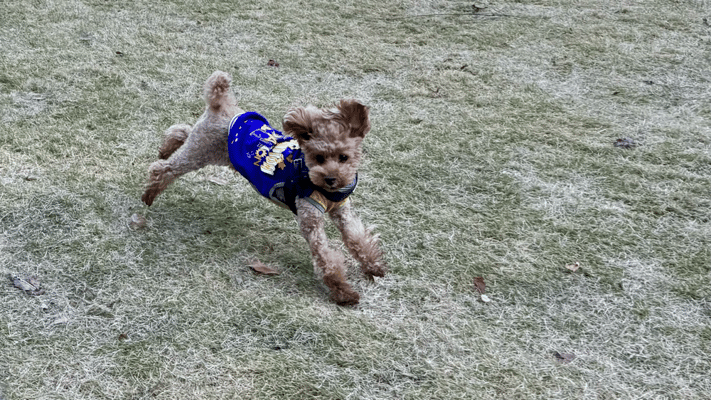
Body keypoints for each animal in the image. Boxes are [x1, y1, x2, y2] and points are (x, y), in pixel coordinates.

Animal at [141, 71, 386, 305]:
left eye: (344, 157)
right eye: (319, 157)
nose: (331, 179)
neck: (324, 190)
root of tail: (221, 106)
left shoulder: (342, 211)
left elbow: (357, 238)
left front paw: (373, 266)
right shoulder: (310, 217)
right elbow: (326, 258)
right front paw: (344, 293)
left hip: (201, 142)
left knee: (182, 130)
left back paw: (165, 148)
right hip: (199, 153)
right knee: (164, 169)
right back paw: (149, 194)